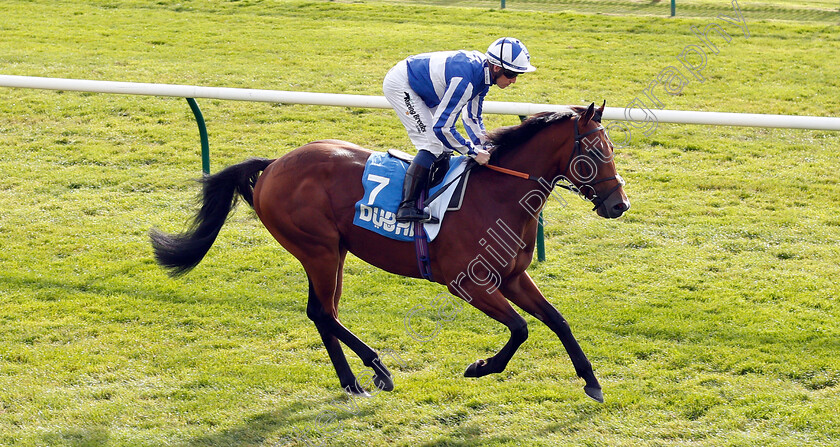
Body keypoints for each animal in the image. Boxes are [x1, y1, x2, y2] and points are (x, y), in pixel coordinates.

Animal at [153, 103, 632, 404]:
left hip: (332, 252)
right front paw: (480, 367)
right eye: (593, 151)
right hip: (318, 250)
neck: (497, 194)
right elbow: (520, 329)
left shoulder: (513, 277)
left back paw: (353, 383)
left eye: (611, 148)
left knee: (322, 313)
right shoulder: (469, 283)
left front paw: (592, 382)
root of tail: (273, 165)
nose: (619, 205)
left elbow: (557, 320)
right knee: (323, 313)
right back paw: (377, 370)